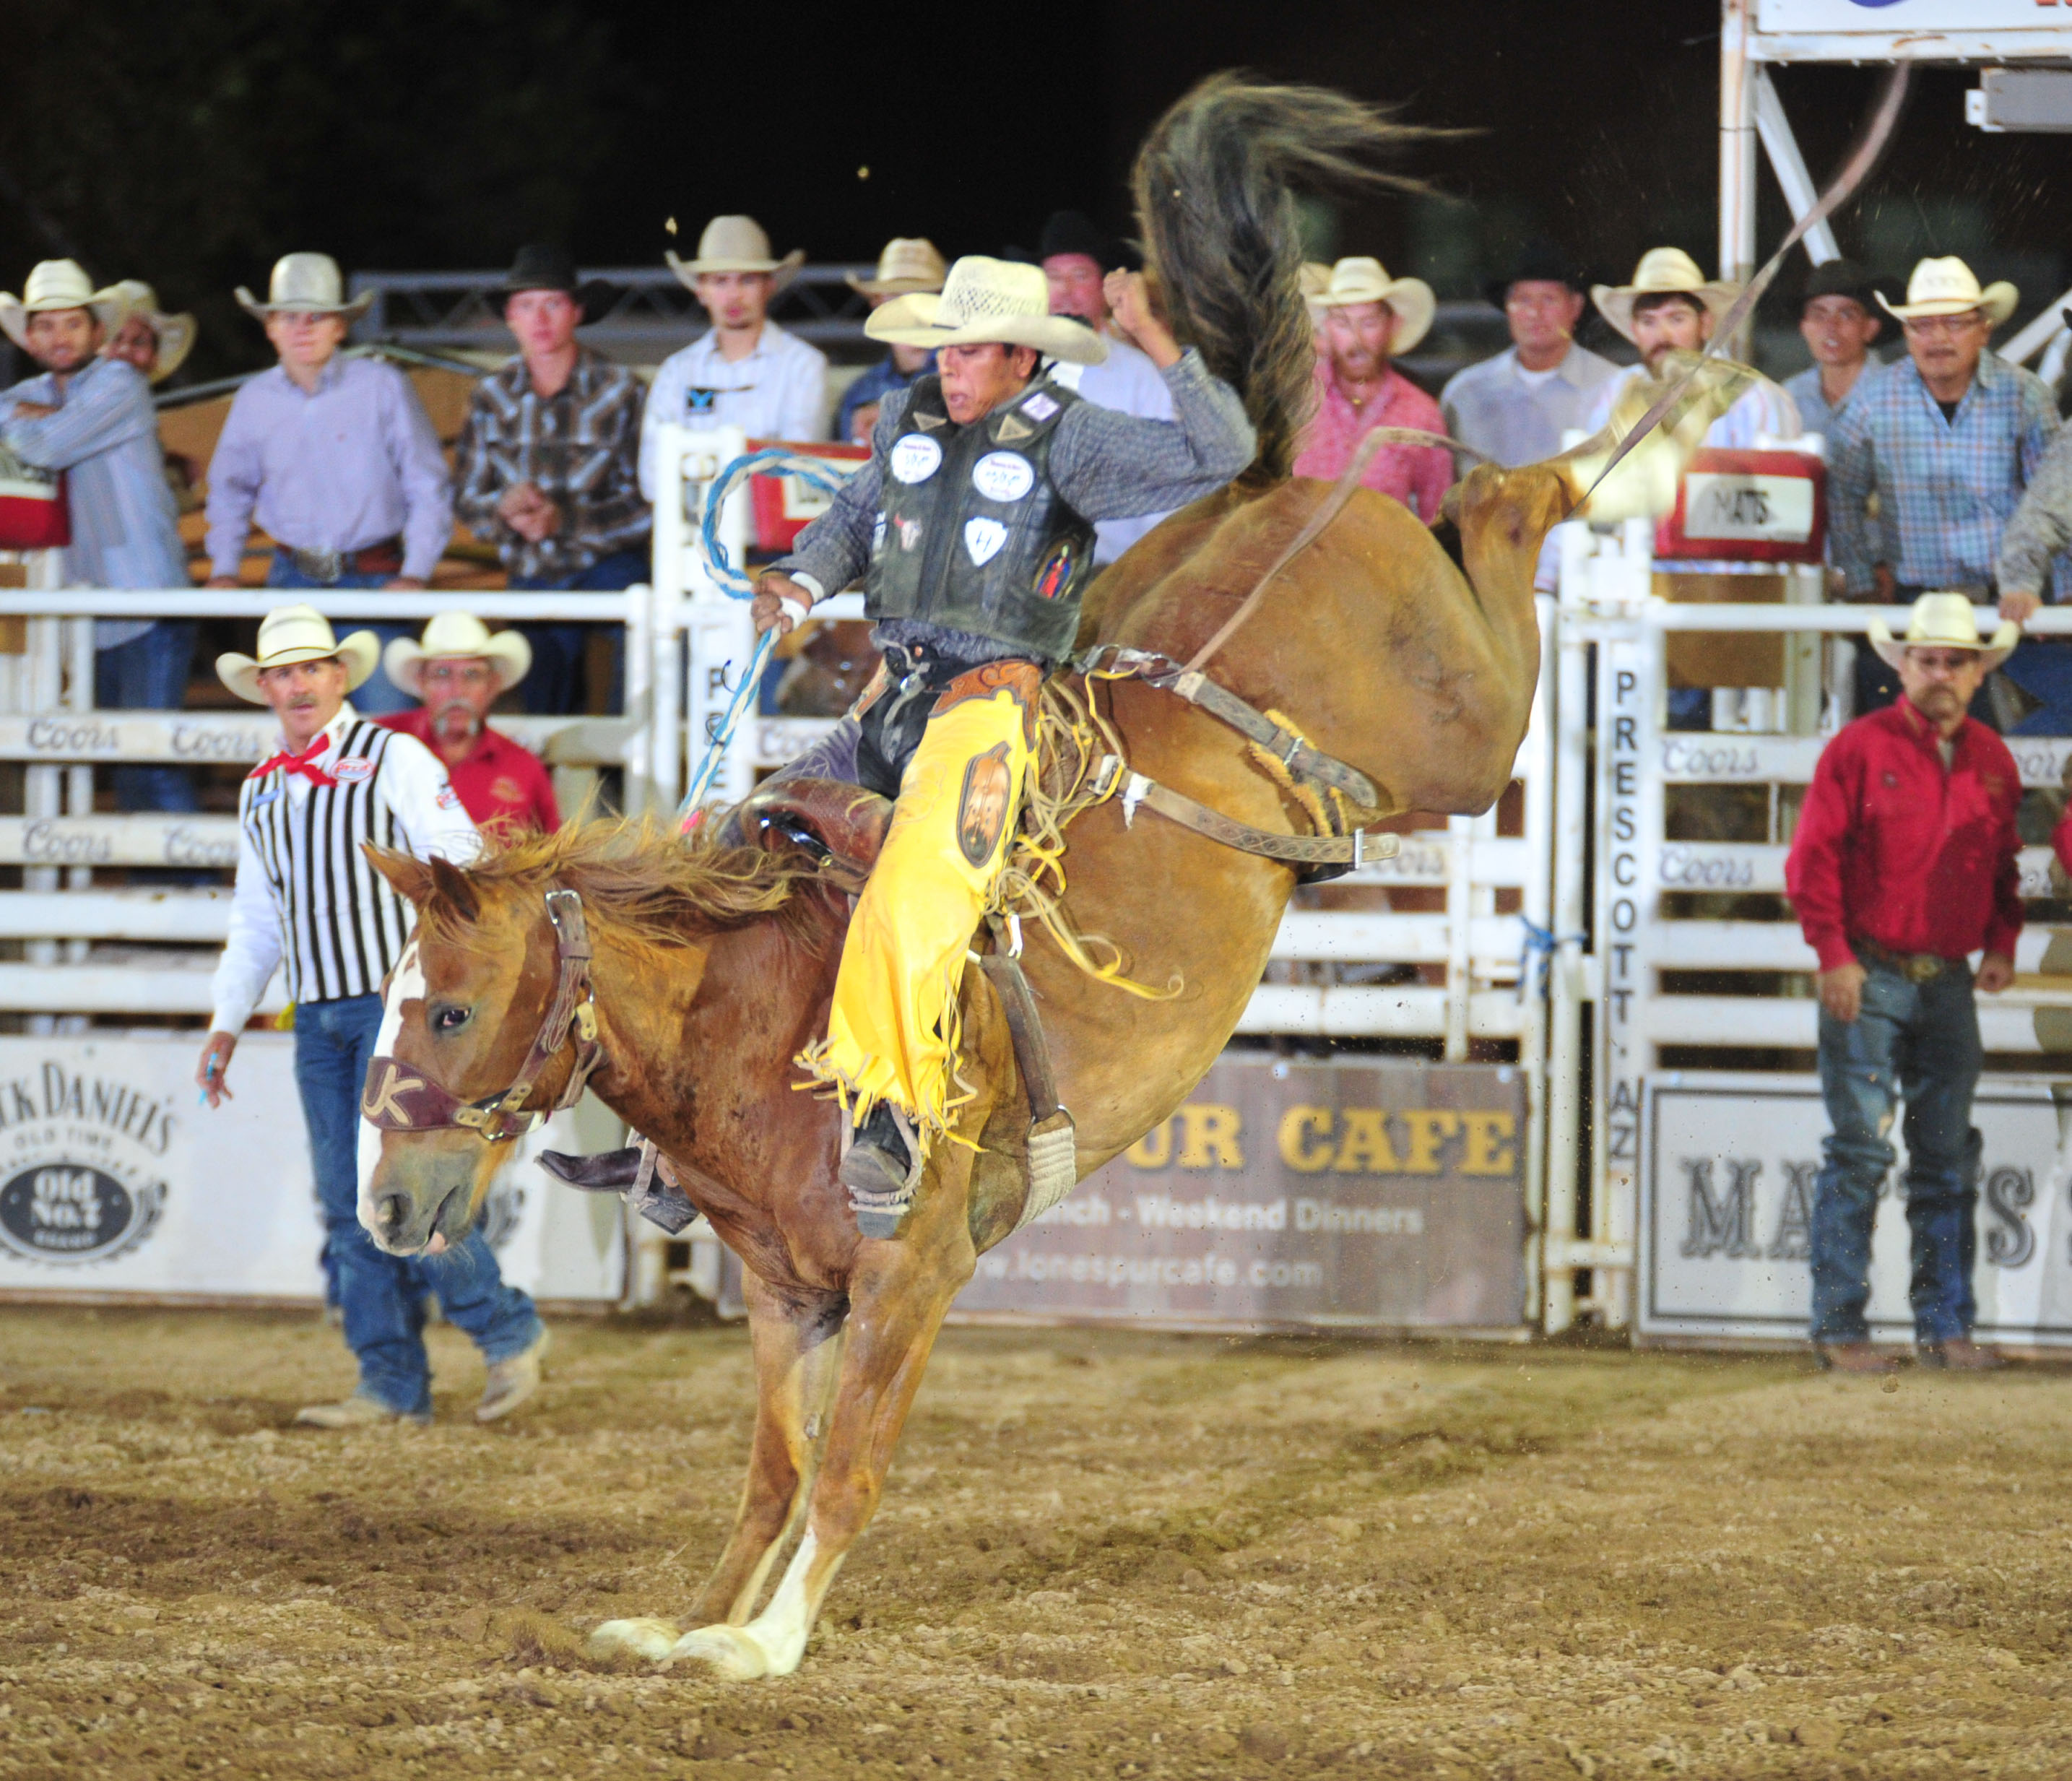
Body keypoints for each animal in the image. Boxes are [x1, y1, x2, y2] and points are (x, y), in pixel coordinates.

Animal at [352, 73, 1732, 1681]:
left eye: (451, 1010)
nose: (387, 1210)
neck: (758, 1020)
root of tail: (1285, 486)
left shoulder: (910, 1273)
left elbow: (848, 1467)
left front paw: (769, 1644)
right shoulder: (779, 1289)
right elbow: (770, 1466)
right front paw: (692, 1617)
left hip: (1456, 727)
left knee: (1515, 512)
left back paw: (1669, 415)